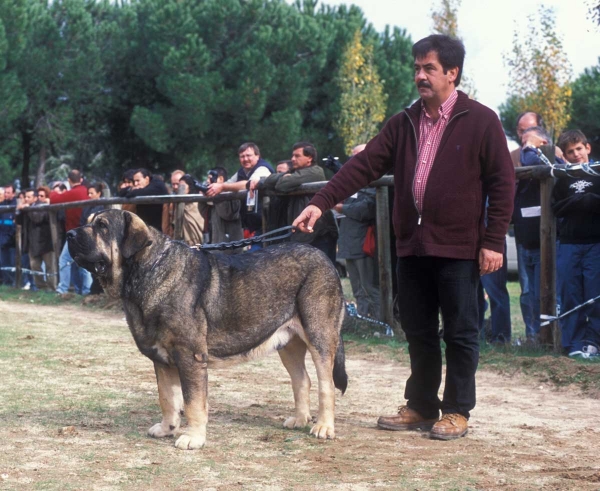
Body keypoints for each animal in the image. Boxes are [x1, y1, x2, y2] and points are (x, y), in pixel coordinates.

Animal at [67, 209, 346, 452]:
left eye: (102, 226)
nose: (69, 234)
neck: (148, 270)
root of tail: (325, 259)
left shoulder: (189, 357)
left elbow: (192, 402)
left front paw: (193, 438)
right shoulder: (162, 360)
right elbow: (167, 397)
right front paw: (167, 428)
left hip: (319, 336)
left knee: (326, 383)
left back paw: (323, 427)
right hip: (287, 343)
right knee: (302, 380)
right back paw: (299, 420)